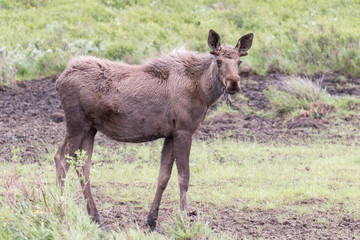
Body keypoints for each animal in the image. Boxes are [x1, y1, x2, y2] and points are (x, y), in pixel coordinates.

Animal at [55, 29, 253, 230]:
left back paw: (96, 218)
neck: (204, 92)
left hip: (90, 128)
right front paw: (184, 221)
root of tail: (59, 79)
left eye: (239, 61)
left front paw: (151, 221)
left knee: (81, 165)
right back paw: (61, 214)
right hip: (76, 123)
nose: (233, 83)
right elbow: (184, 177)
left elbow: (163, 177)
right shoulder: (184, 130)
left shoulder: (171, 134)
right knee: (62, 159)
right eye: (218, 61)